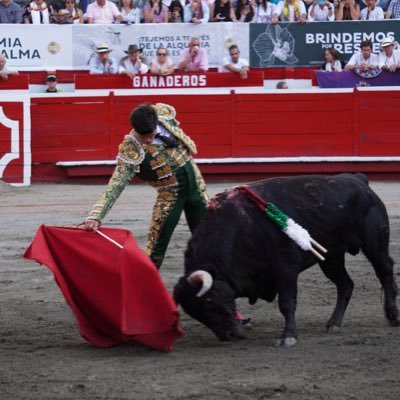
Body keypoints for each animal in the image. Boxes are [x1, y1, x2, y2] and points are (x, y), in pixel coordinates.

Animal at [175, 173, 400, 346]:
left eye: (210, 303)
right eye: (196, 313)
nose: (229, 335)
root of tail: (359, 180)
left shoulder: (286, 267)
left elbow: (286, 302)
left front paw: (289, 337)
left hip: (374, 243)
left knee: (385, 272)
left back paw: (392, 315)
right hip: (331, 257)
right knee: (345, 284)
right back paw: (334, 323)